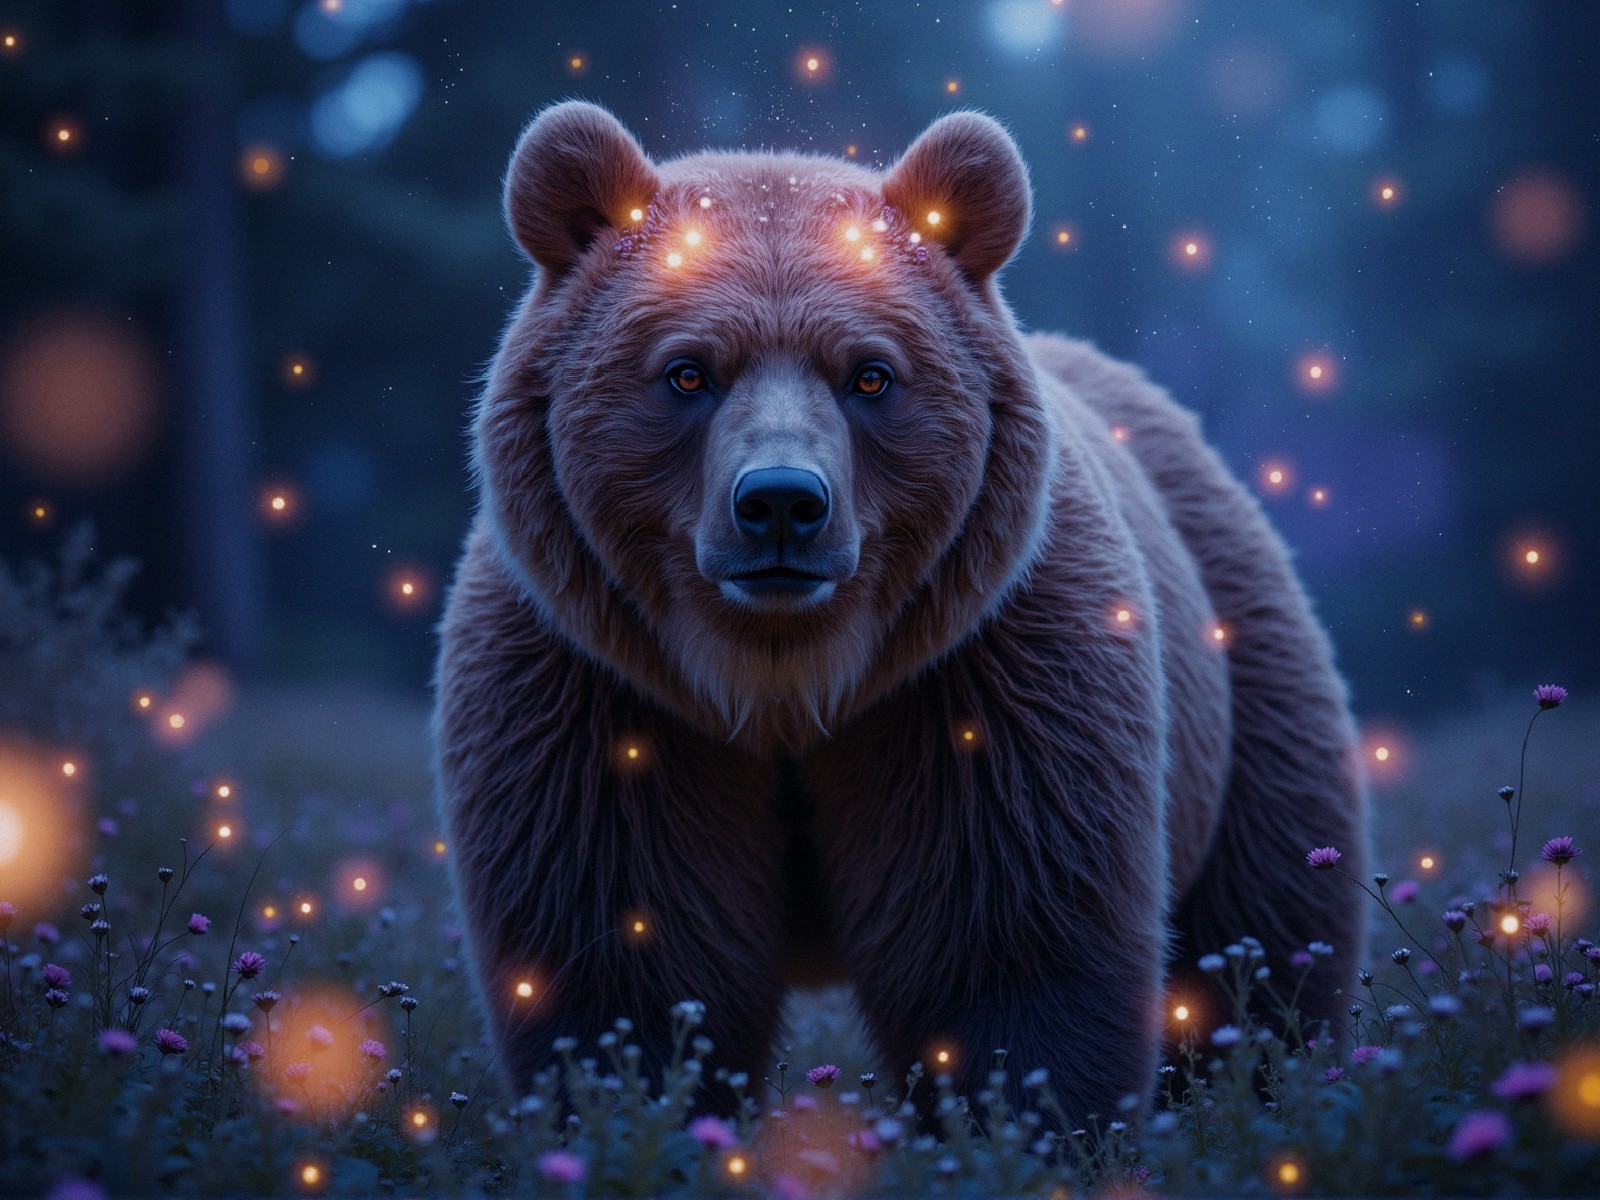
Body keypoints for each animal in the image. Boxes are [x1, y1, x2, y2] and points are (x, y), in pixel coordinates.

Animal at [433, 100, 1369, 1128]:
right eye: (687, 372)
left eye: (870, 374)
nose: (781, 503)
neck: (782, 683)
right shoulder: (598, 697)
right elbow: (623, 957)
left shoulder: (980, 681)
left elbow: (1010, 946)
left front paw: (1026, 1118)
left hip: (1245, 697)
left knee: (1263, 941)